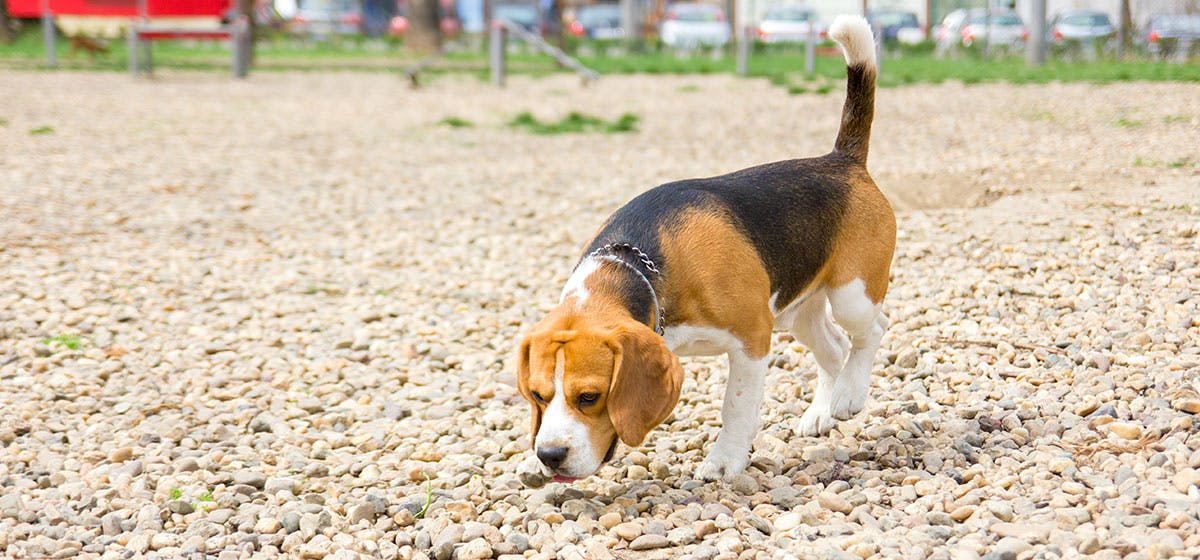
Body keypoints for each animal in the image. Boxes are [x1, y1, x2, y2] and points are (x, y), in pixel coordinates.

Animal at [516, 15, 892, 484]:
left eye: (589, 396)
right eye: (538, 395)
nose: (550, 455)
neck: (639, 263)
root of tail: (841, 160)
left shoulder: (752, 339)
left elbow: (736, 406)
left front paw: (725, 460)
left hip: (851, 295)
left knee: (871, 332)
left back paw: (848, 396)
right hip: (797, 312)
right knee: (835, 348)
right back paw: (820, 412)